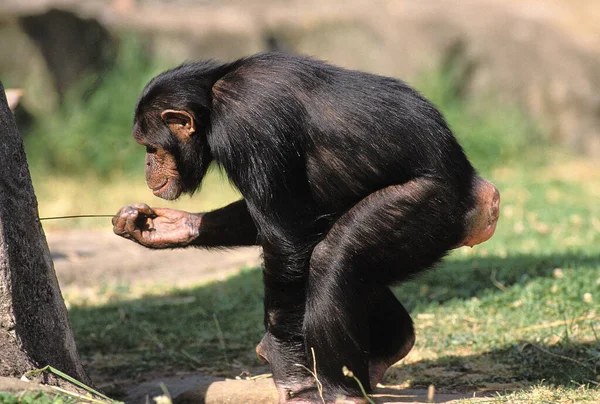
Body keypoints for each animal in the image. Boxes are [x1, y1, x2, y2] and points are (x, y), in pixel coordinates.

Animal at [111, 53, 496, 404]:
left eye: (151, 147)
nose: (146, 165)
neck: (211, 99)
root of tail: (482, 198)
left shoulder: (247, 123)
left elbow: (282, 237)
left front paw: (291, 375)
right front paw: (165, 227)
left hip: (429, 207)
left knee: (332, 258)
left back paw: (343, 391)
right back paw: (386, 351)